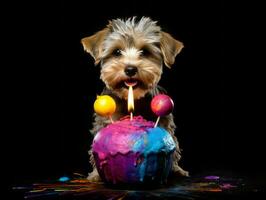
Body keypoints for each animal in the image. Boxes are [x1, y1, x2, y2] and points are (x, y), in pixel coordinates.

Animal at [82, 16, 188, 181]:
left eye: (144, 52)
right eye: (117, 52)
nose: (130, 69)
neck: (132, 100)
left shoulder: (164, 122)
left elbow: (172, 143)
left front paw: (176, 169)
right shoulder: (105, 121)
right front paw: (96, 175)